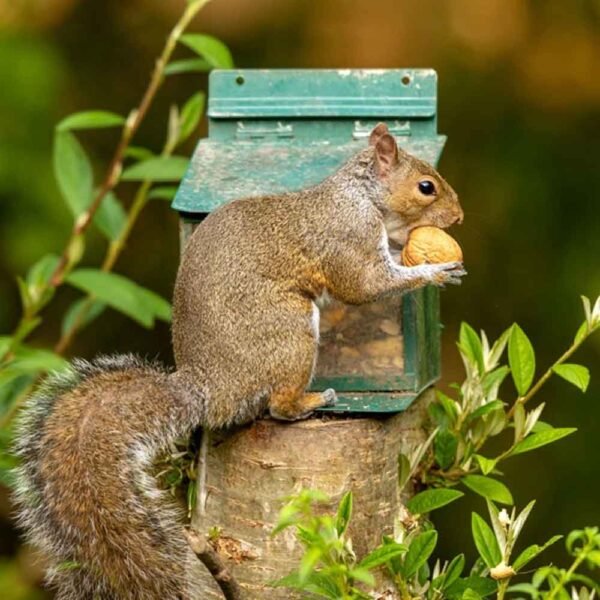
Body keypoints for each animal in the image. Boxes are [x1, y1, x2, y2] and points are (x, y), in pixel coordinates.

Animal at [12, 123, 464, 600]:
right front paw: (435, 271)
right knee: (278, 406)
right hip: (291, 332)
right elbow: (365, 286)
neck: (358, 196)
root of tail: (208, 388)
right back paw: (312, 401)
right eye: (426, 187)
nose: (458, 218)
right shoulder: (347, 238)